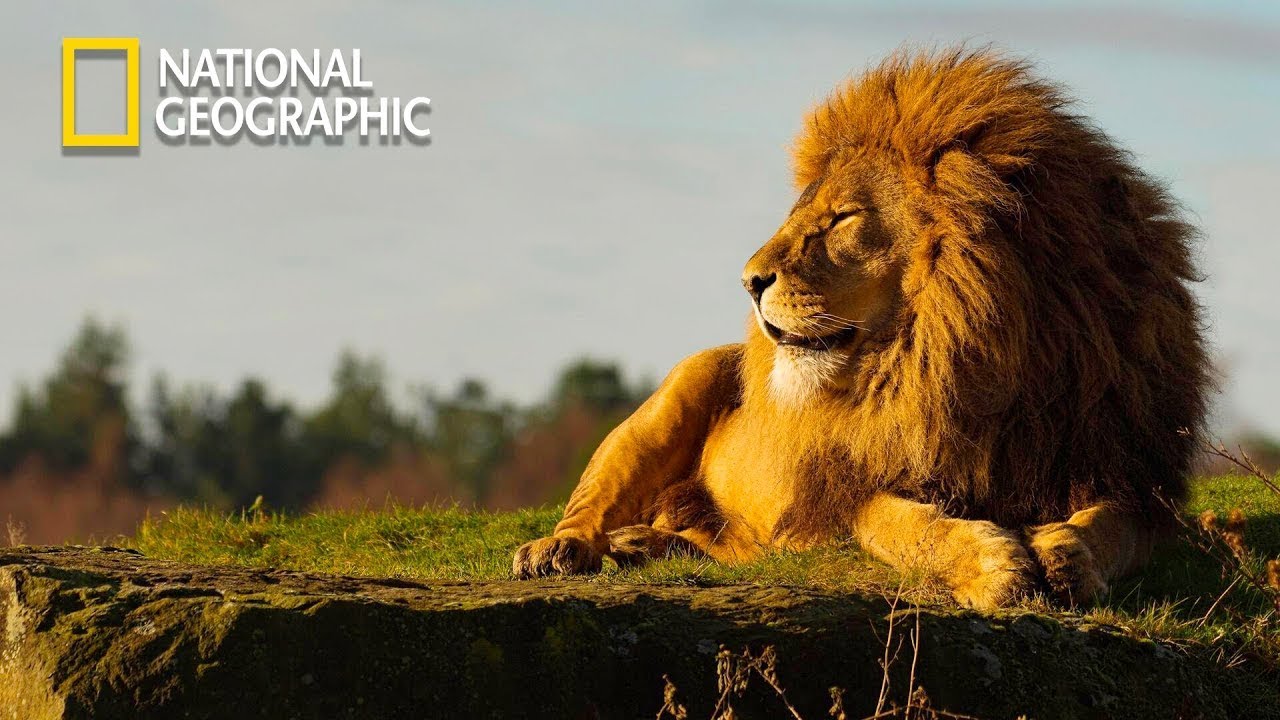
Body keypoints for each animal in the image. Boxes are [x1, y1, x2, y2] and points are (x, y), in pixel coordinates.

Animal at [512, 48, 1210, 609]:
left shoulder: (1128, 477)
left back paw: (645, 545)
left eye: (841, 219)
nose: (748, 280)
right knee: (591, 502)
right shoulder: (848, 493)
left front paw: (1067, 557)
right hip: (667, 405)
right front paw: (994, 566)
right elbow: (900, 523)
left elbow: (1112, 527)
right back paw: (560, 550)